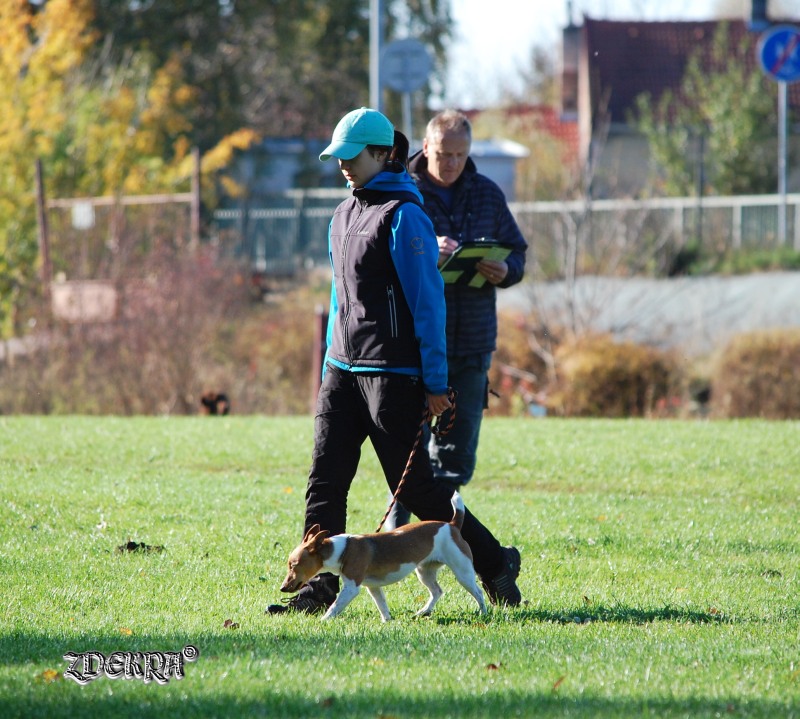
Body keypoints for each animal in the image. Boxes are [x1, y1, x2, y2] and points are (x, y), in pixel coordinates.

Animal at [278, 492, 490, 620]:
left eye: (293, 565)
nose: (282, 588)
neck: (342, 549)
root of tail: (452, 525)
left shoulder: (351, 588)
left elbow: (335, 607)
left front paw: (324, 620)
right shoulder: (373, 587)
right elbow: (382, 605)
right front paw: (387, 621)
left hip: (462, 571)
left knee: (478, 593)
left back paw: (483, 613)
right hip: (425, 571)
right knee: (437, 591)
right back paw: (423, 611)